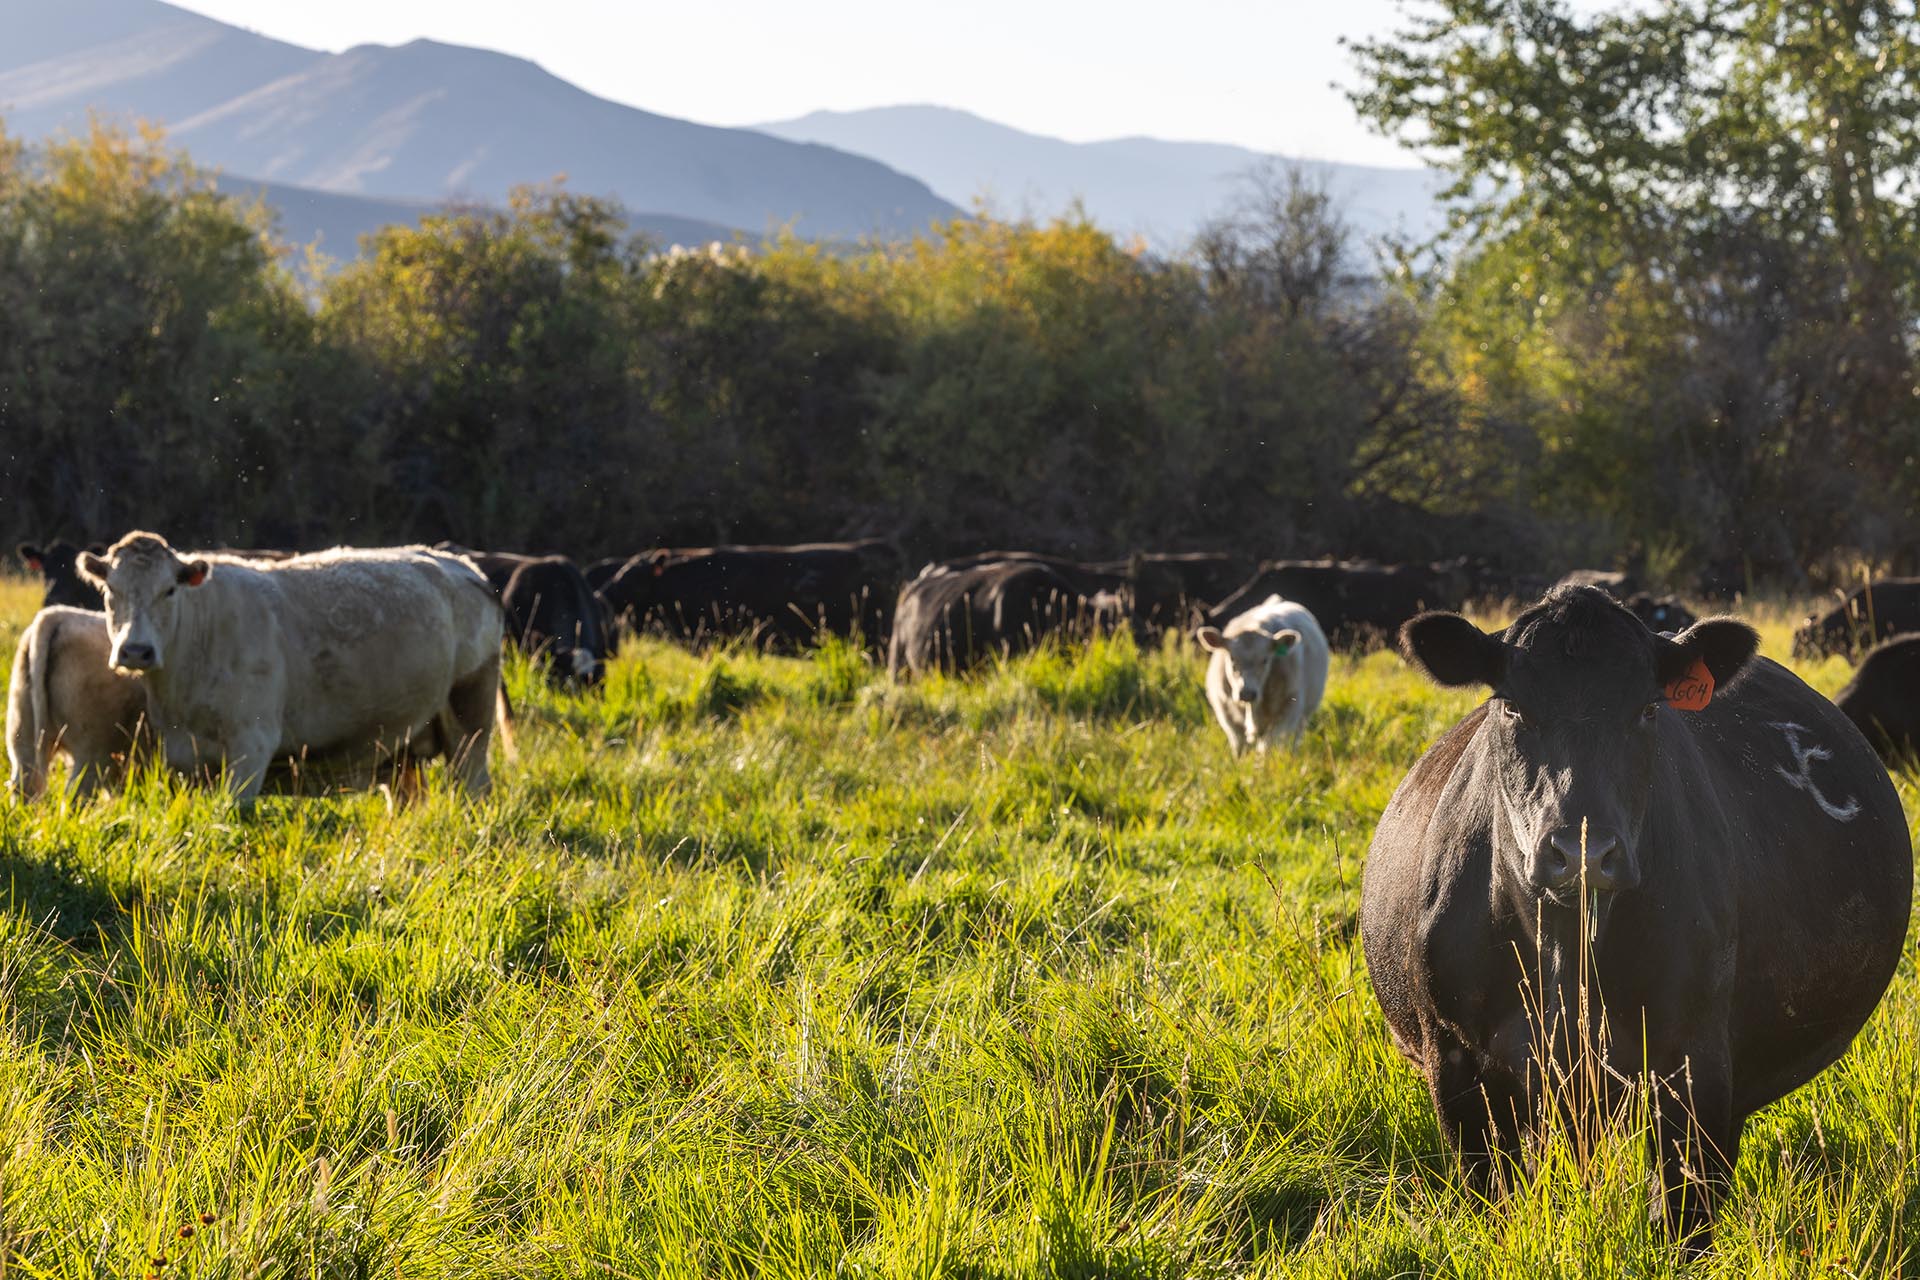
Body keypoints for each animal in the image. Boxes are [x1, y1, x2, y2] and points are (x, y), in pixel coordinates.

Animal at [79, 533, 509, 803]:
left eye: (169, 590)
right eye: (110, 590)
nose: (136, 651)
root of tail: (462, 566)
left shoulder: (252, 746)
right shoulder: (184, 760)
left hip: (470, 716)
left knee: (474, 788)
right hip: (403, 744)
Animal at [1194, 595, 1329, 754]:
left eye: (1265, 660)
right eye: (1232, 657)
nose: (1247, 693)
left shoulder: (1290, 710)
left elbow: (1267, 746)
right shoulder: (1224, 710)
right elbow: (1239, 745)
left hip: (1305, 712)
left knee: (1295, 738)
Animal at [1362, 585, 1910, 1246]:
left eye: (1649, 709)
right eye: (1512, 705)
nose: (1583, 850)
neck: (1566, 955)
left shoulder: (1693, 1060)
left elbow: (1682, 1216)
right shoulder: (1456, 1061)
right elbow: (1491, 1203)